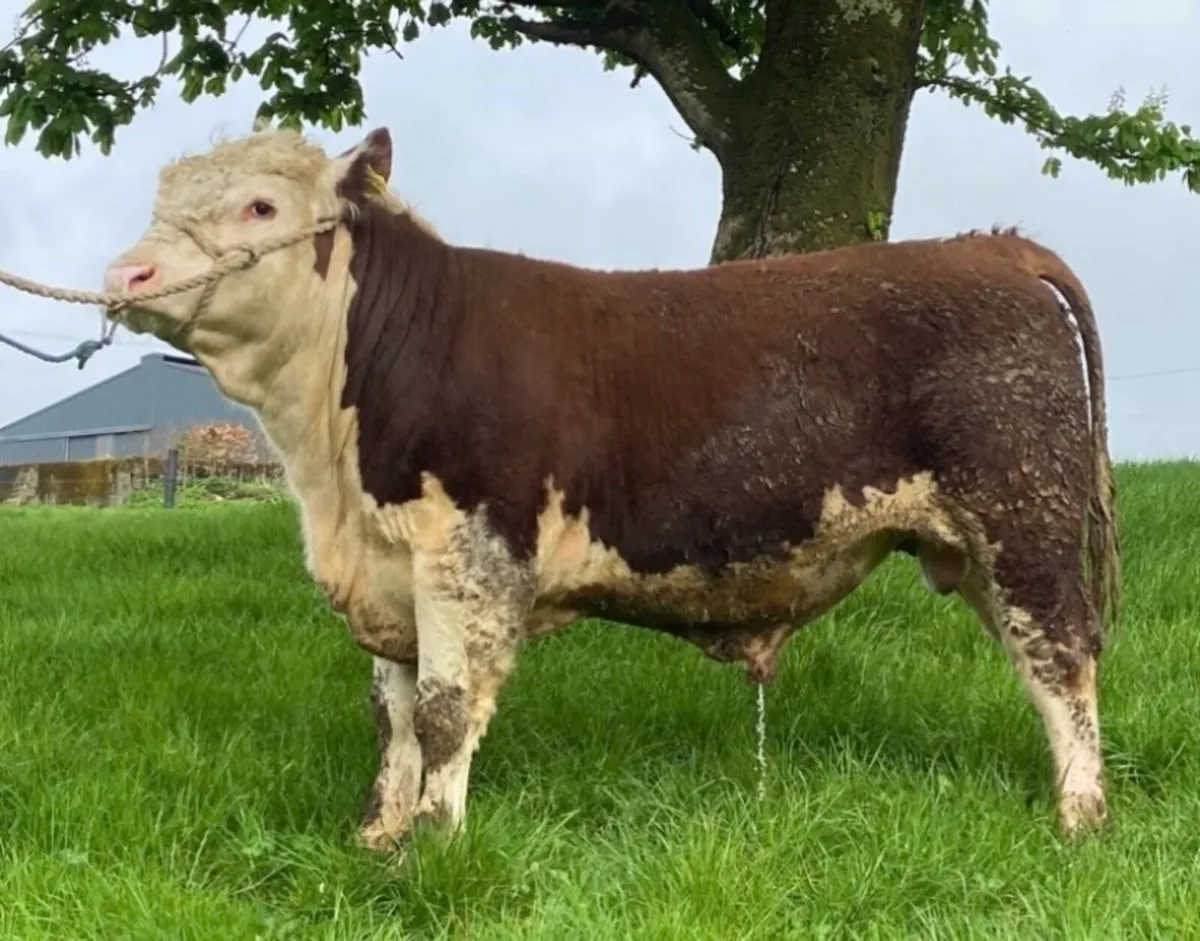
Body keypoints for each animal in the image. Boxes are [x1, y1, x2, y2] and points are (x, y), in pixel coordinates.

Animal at [101, 124, 1120, 850]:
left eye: (261, 206)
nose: (125, 272)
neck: (333, 471)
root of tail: (997, 248)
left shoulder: (469, 555)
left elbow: (442, 712)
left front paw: (433, 843)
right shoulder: (389, 570)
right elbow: (392, 714)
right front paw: (378, 835)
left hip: (1022, 521)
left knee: (1061, 659)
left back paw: (1080, 818)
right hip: (977, 545)